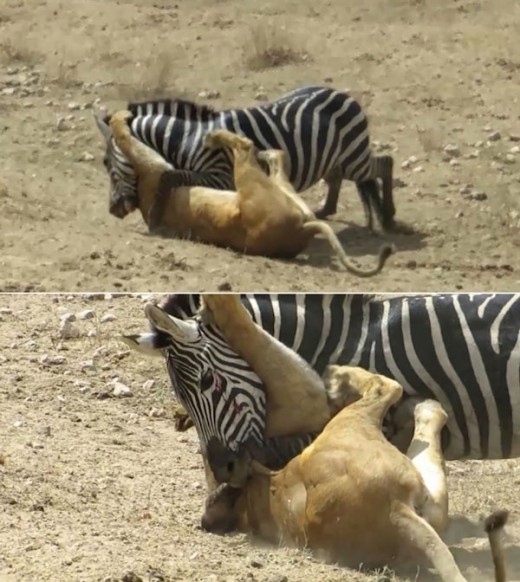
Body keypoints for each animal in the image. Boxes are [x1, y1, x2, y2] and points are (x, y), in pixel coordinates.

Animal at [93, 86, 394, 233]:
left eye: (107, 165)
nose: (112, 210)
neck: (187, 137)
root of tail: (343, 94)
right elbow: (177, 177)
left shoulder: (220, 174)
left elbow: (171, 175)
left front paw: (155, 214)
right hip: (333, 158)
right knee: (336, 177)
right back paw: (324, 210)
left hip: (354, 155)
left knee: (384, 163)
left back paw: (389, 217)